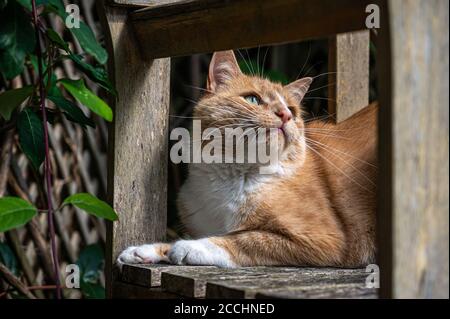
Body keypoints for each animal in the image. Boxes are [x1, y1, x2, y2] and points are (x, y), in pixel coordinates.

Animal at [118, 50, 378, 270]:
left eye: (292, 110)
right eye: (253, 99)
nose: (286, 115)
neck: (232, 177)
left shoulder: (326, 238)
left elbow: (246, 238)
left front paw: (192, 246)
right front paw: (144, 251)